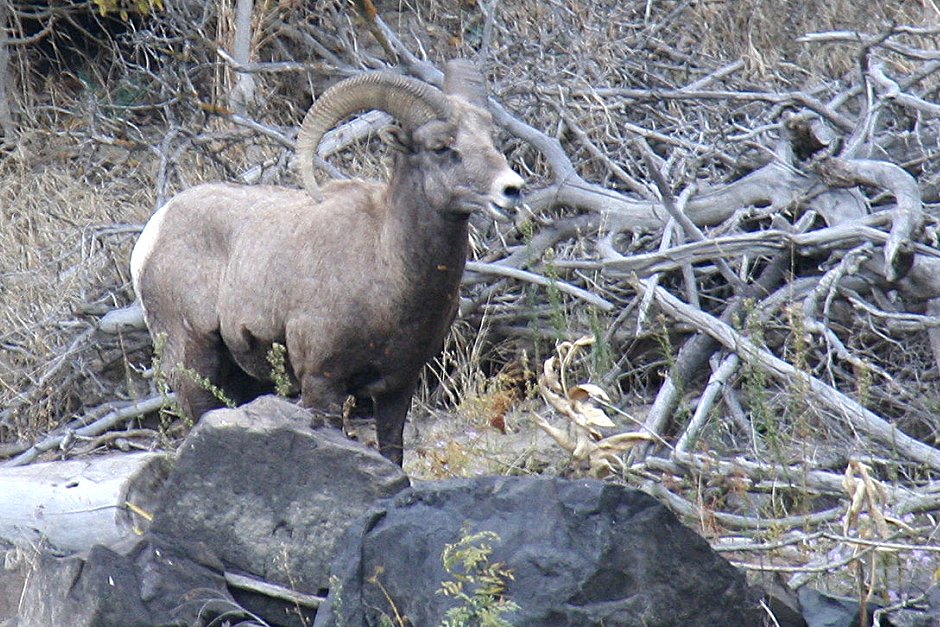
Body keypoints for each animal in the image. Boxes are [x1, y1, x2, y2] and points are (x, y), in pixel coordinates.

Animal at [131, 60, 524, 466]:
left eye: (490, 137)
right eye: (441, 147)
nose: (511, 190)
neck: (386, 263)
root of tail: (154, 232)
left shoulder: (397, 387)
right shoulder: (322, 383)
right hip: (192, 361)